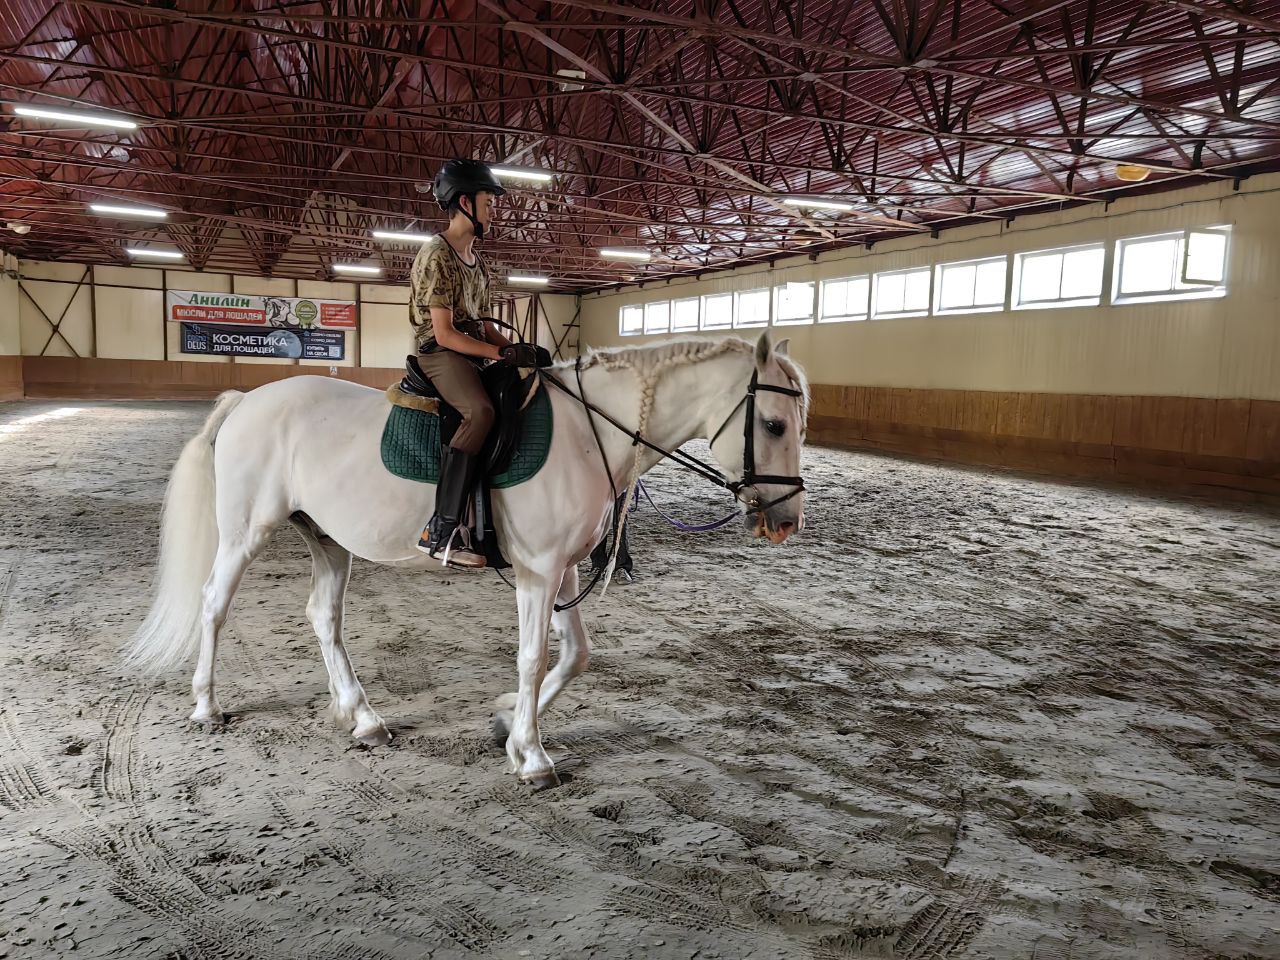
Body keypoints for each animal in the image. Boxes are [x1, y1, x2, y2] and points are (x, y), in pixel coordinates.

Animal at [132, 332, 808, 788]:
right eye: (774, 424)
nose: (785, 522)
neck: (590, 433)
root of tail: (247, 400)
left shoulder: (561, 568)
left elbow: (575, 655)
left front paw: (507, 724)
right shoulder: (539, 571)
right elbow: (534, 659)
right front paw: (533, 756)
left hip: (327, 538)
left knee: (323, 617)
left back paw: (363, 717)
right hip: (246, 532)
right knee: (214, 605)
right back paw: (206, 706)